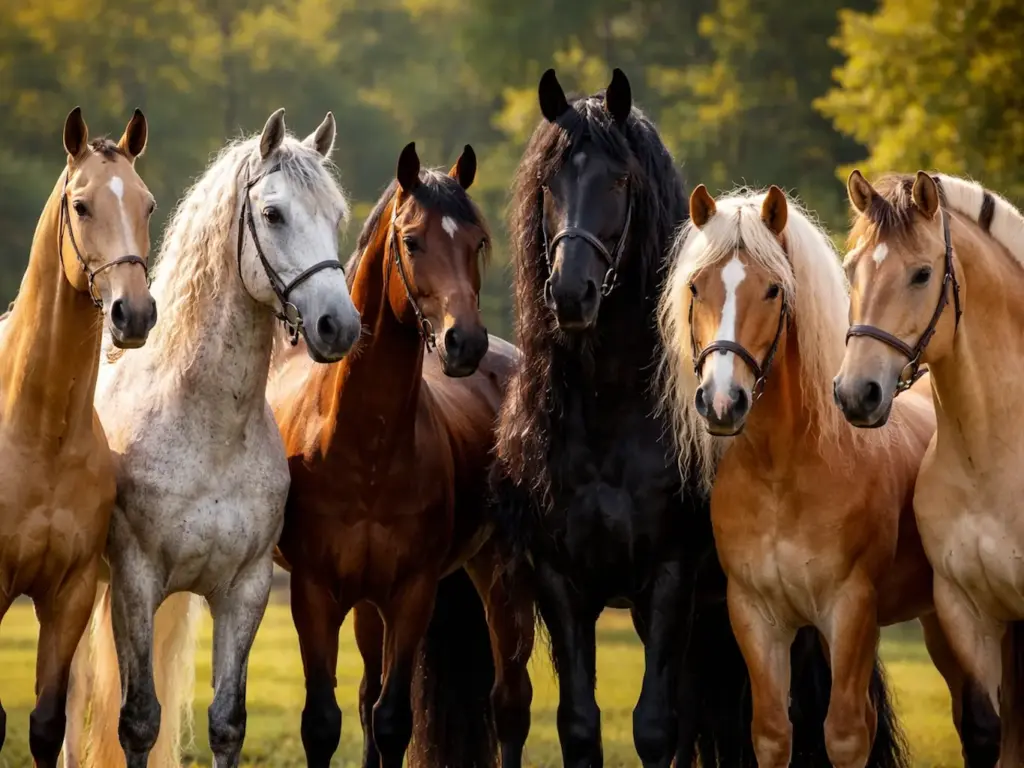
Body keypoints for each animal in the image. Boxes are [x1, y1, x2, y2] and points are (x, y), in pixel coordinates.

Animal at [63, 107, 361, 768]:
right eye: (273, 214)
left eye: (337, 216)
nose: (340, 325)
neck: (211, 432)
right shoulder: (137, 583)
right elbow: (138, 723)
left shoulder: (244, 591)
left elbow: (227, 722)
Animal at [267, 141, 534, 768]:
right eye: (411, 241)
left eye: (477, 241)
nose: (465, 342)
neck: (365, 448)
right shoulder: (315, 593)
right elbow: (327, 722)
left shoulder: (413, 594)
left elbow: (393, 721)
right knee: (367, 695)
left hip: (502, 578)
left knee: (510, 705)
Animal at [490, 66, 863, 768]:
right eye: (549, 184)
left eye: (618, 181)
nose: (571, 294)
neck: (611, 417)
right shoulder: (562, 582)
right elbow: (582, 726)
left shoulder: (669, 580)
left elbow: (658, 729)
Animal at [659, 183, 1002, 768]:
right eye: (697, 287)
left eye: (773, 289)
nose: (723, 401)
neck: (784, 471)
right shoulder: (756, 616)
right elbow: (773, 734)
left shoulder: (851, 611)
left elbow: (844, 734)